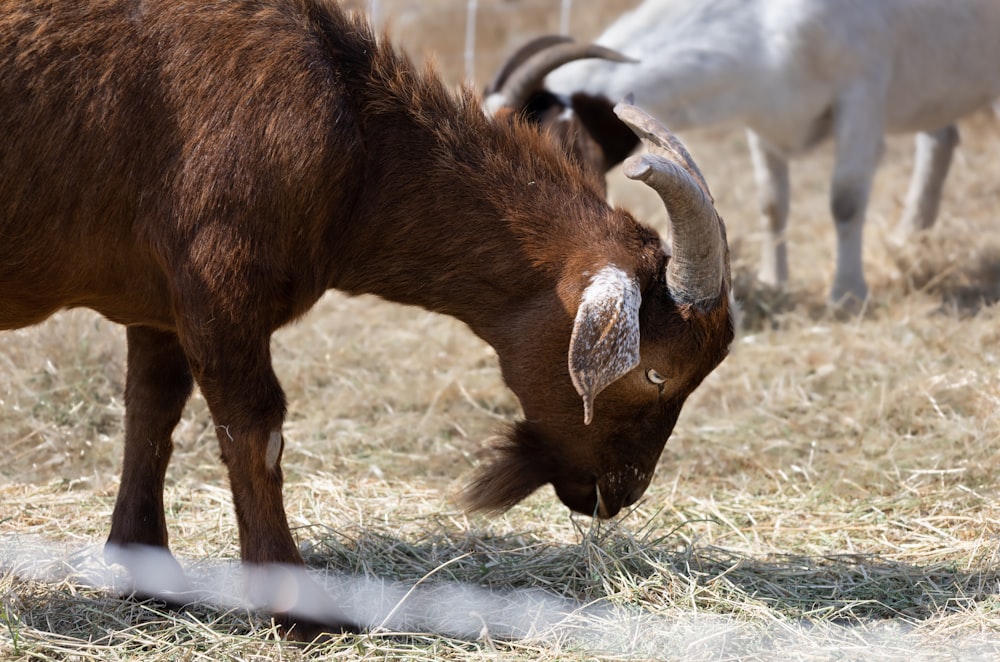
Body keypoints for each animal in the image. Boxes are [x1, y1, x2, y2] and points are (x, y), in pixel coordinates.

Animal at [0, 0, 736, 640]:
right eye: (657, 374)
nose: (620, 492)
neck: (358, 144)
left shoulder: (158, 302)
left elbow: (152, 413)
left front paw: (145, 574)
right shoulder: (218, 284)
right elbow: (255, 429)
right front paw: (299, 610)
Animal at [544, 0, 1000, 306]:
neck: (764, 24)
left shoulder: (861, 94)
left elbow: (846, 201)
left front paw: (847, 294)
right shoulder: (761, 119)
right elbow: (771, 203)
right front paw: (772, 280)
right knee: (940, 139)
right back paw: (910, 239)